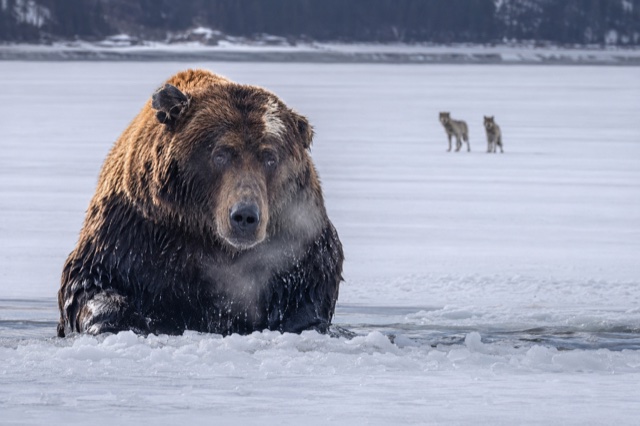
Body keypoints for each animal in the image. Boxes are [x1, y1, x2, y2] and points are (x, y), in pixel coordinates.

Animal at [57, 69, 343, 337]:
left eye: (270, 157)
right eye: (220, 154)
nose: (245, 216)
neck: (208, 239)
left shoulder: (297, 240)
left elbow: (307, 289)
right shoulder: (133, 233)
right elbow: (91, 281)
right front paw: (115, 321)